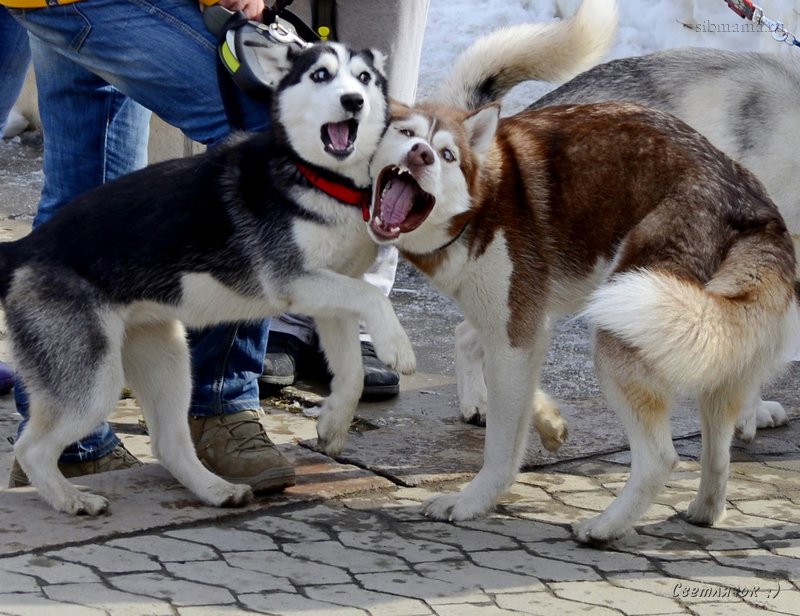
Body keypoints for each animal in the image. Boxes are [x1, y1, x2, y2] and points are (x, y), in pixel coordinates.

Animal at [359, 26, 799, 543]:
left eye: (446, 154)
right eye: (405, 135)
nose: (421, 154)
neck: (483, 201)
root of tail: (753, 205)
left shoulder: (518, 330)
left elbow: (502, 446)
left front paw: (471, 502)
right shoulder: (520, 328)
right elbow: (513, 396)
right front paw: (544, 422)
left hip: (629, 322)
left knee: (660, 458)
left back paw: (606, 526)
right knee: (713, 453)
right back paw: (701, 510)